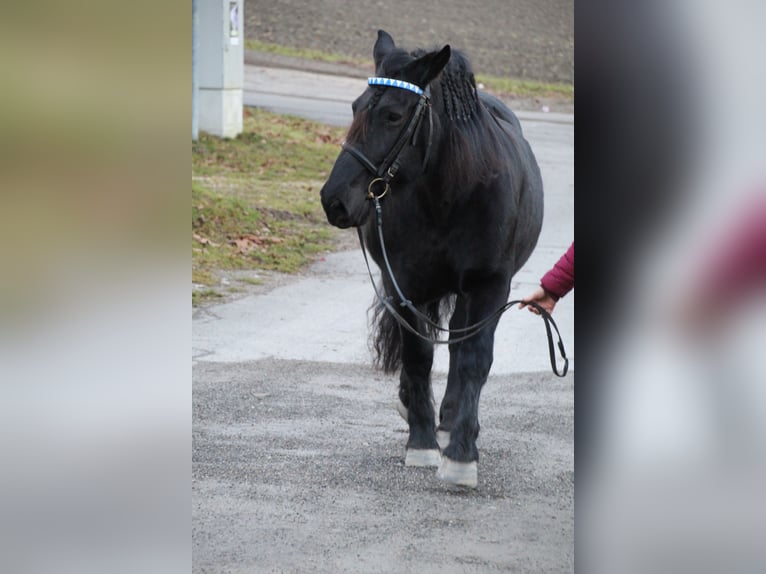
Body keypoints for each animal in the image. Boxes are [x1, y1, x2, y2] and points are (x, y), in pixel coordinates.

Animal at [322, 30, 544, 490]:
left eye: (392, 115)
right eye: (354, 107)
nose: (333, 200)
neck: (451, 193)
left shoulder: (489, 286)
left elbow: (473, 358)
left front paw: (460, 453)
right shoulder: (405, 283)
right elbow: (418, 355)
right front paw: (421, 443)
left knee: (460, 345)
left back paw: (451, 417)